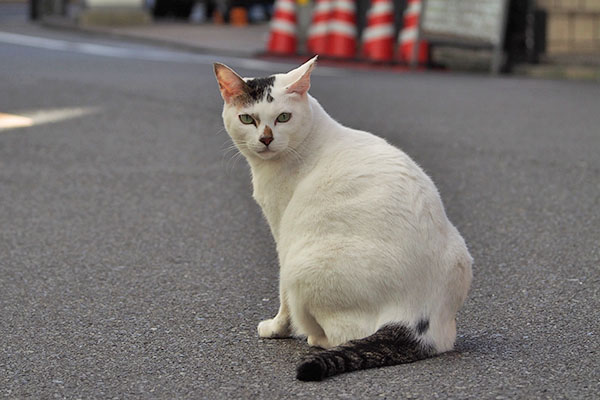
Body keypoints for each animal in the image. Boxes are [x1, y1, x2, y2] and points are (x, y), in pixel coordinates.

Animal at [213, 57, 472, 382]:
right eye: (247, 119)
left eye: (283, 117)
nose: (266, 138)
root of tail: (418, 320)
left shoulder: (281, 232)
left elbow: (283, 301)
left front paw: (276, 328)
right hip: (461, 253)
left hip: (302, 266)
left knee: (343, 334)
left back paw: (314, 336)